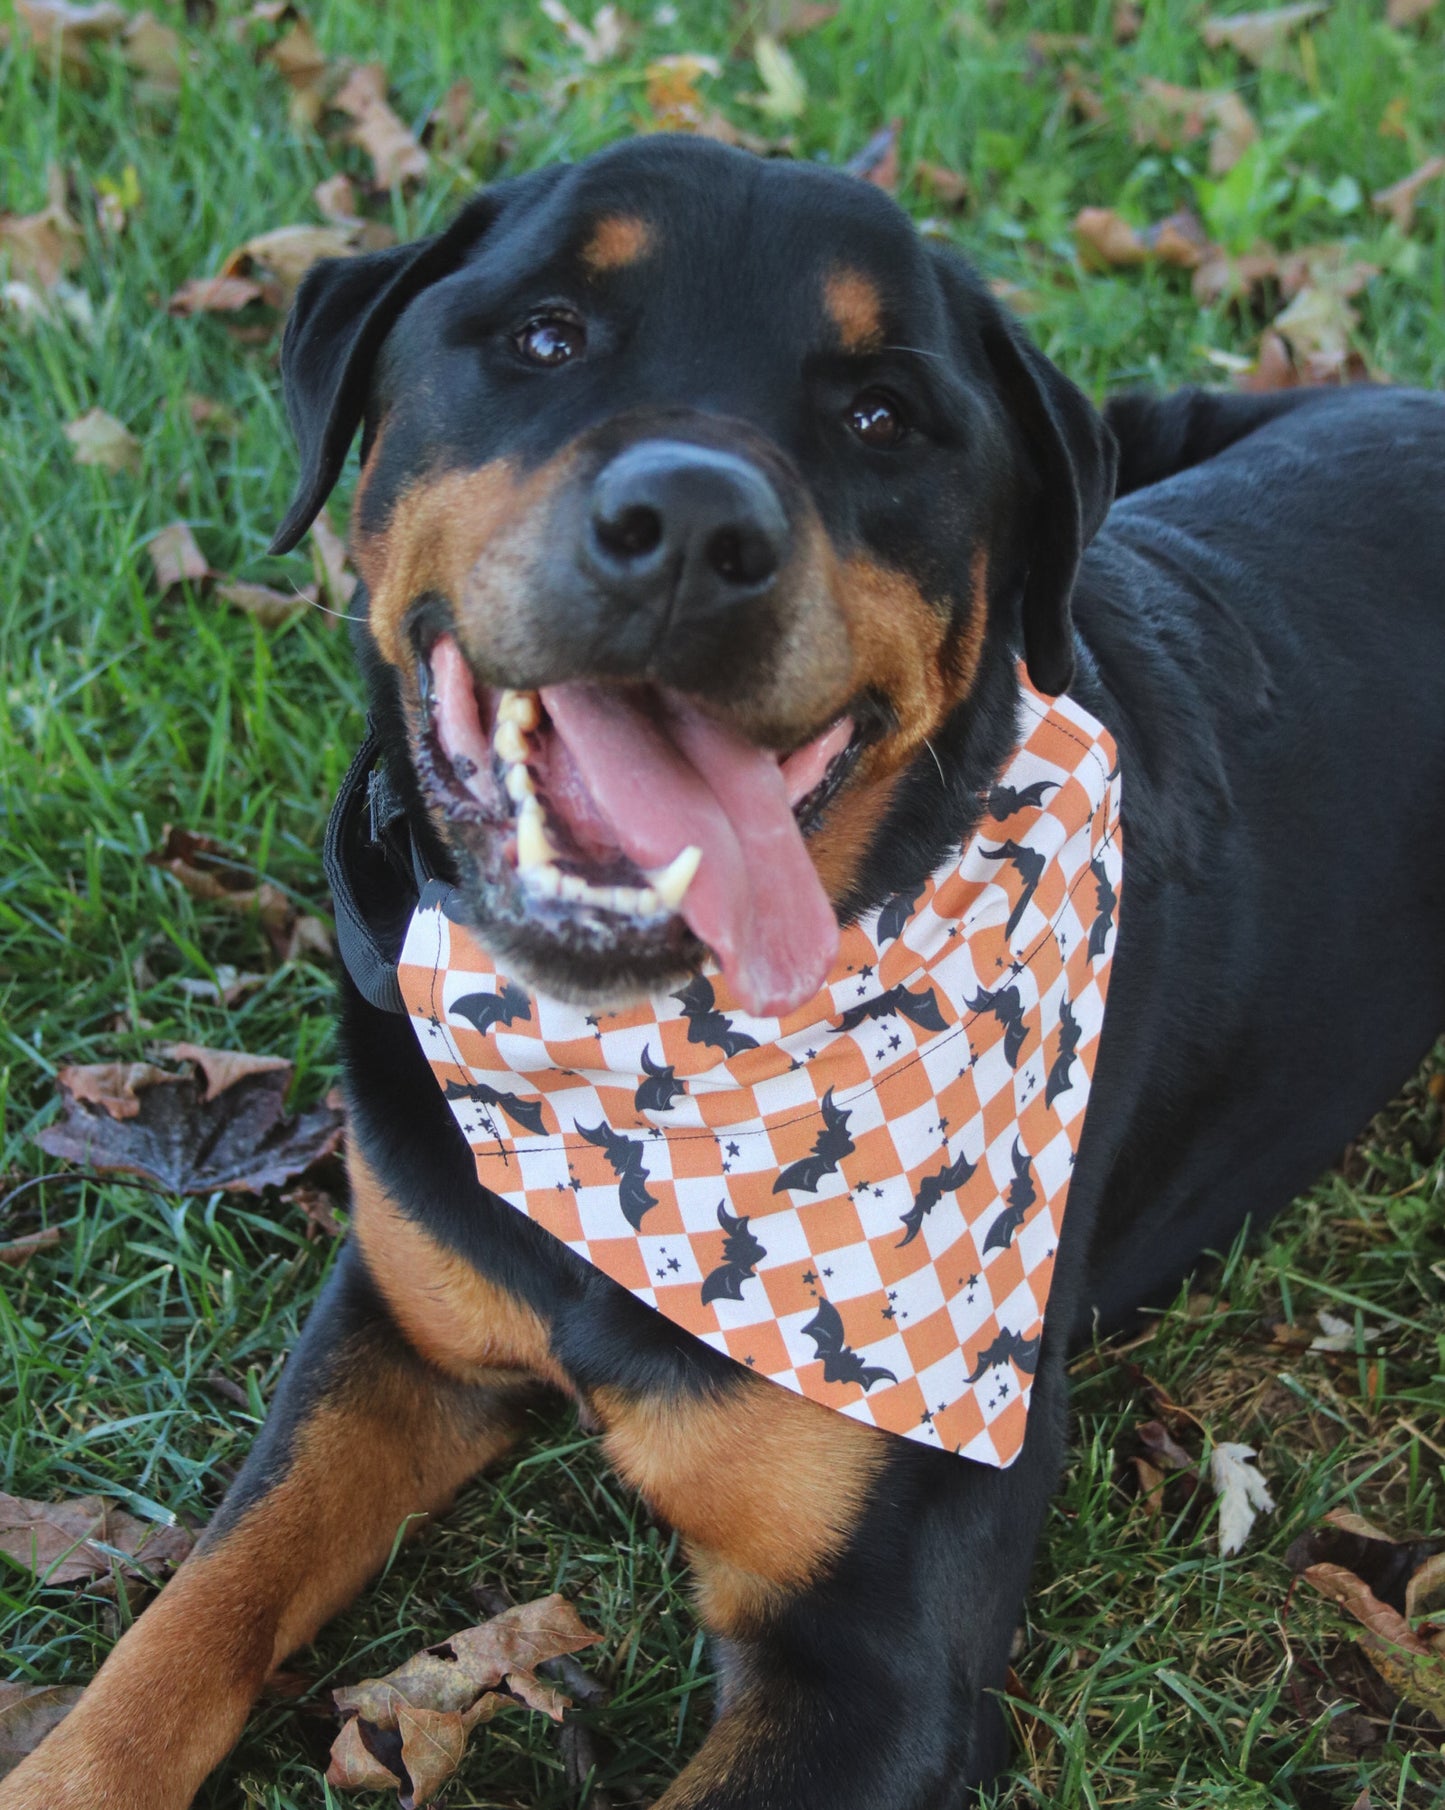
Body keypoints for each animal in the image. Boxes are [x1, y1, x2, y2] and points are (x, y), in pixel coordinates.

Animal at [11, 133, 1445, 1802]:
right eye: (545, 334)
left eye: (883, 413)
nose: (693, 527)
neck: (627, 1069)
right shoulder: (395, 1319)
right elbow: (203, 1596)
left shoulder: (873, 1656)